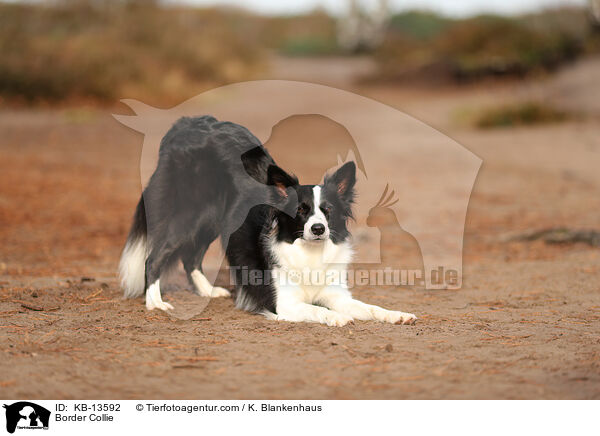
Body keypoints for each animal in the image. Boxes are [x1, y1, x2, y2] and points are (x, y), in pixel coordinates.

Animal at [118, 116, 418, 328]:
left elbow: (368, 307)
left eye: (328, 210)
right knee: (154, 257)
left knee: (191, 256)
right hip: (187, 215)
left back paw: (207, 291)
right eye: (301, 211)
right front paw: (336, 318)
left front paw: (396, 314)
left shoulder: (336, 294)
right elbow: (316, 309)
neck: (308, 253)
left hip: (213, 220)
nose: (318, 229)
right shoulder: (285, 304)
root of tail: (185, 124)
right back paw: (156, 302)